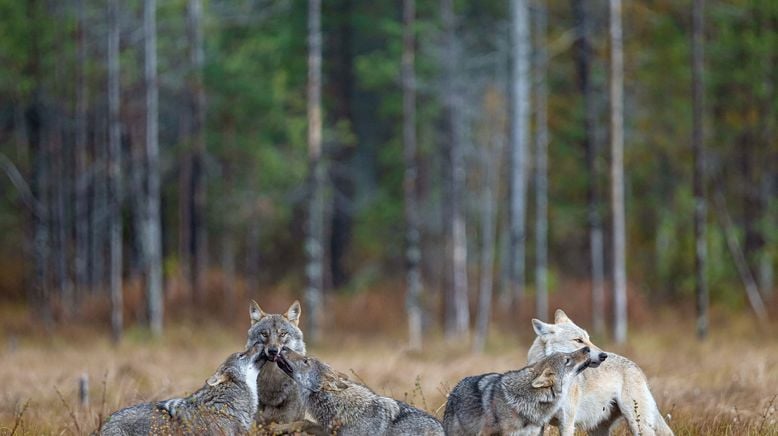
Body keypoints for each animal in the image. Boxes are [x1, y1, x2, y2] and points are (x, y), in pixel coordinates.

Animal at [528, 308, 672, 434]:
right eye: (578, 340)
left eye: (588, 339)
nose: (603, 356)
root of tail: (637, 367)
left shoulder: (567, 424)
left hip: (637, 424)